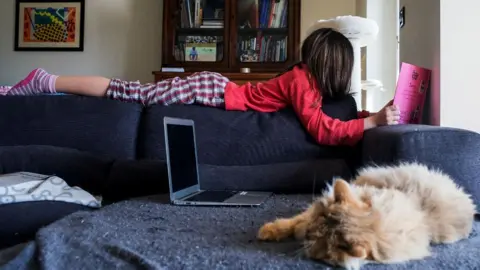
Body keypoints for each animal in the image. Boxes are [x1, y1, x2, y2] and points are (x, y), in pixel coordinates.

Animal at [258, 162, 476, 270]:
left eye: (319, 239)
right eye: (318, 221)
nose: (308, 233)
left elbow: (298, 224)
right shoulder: (312, 212)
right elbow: (295, 221)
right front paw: (269, 230)